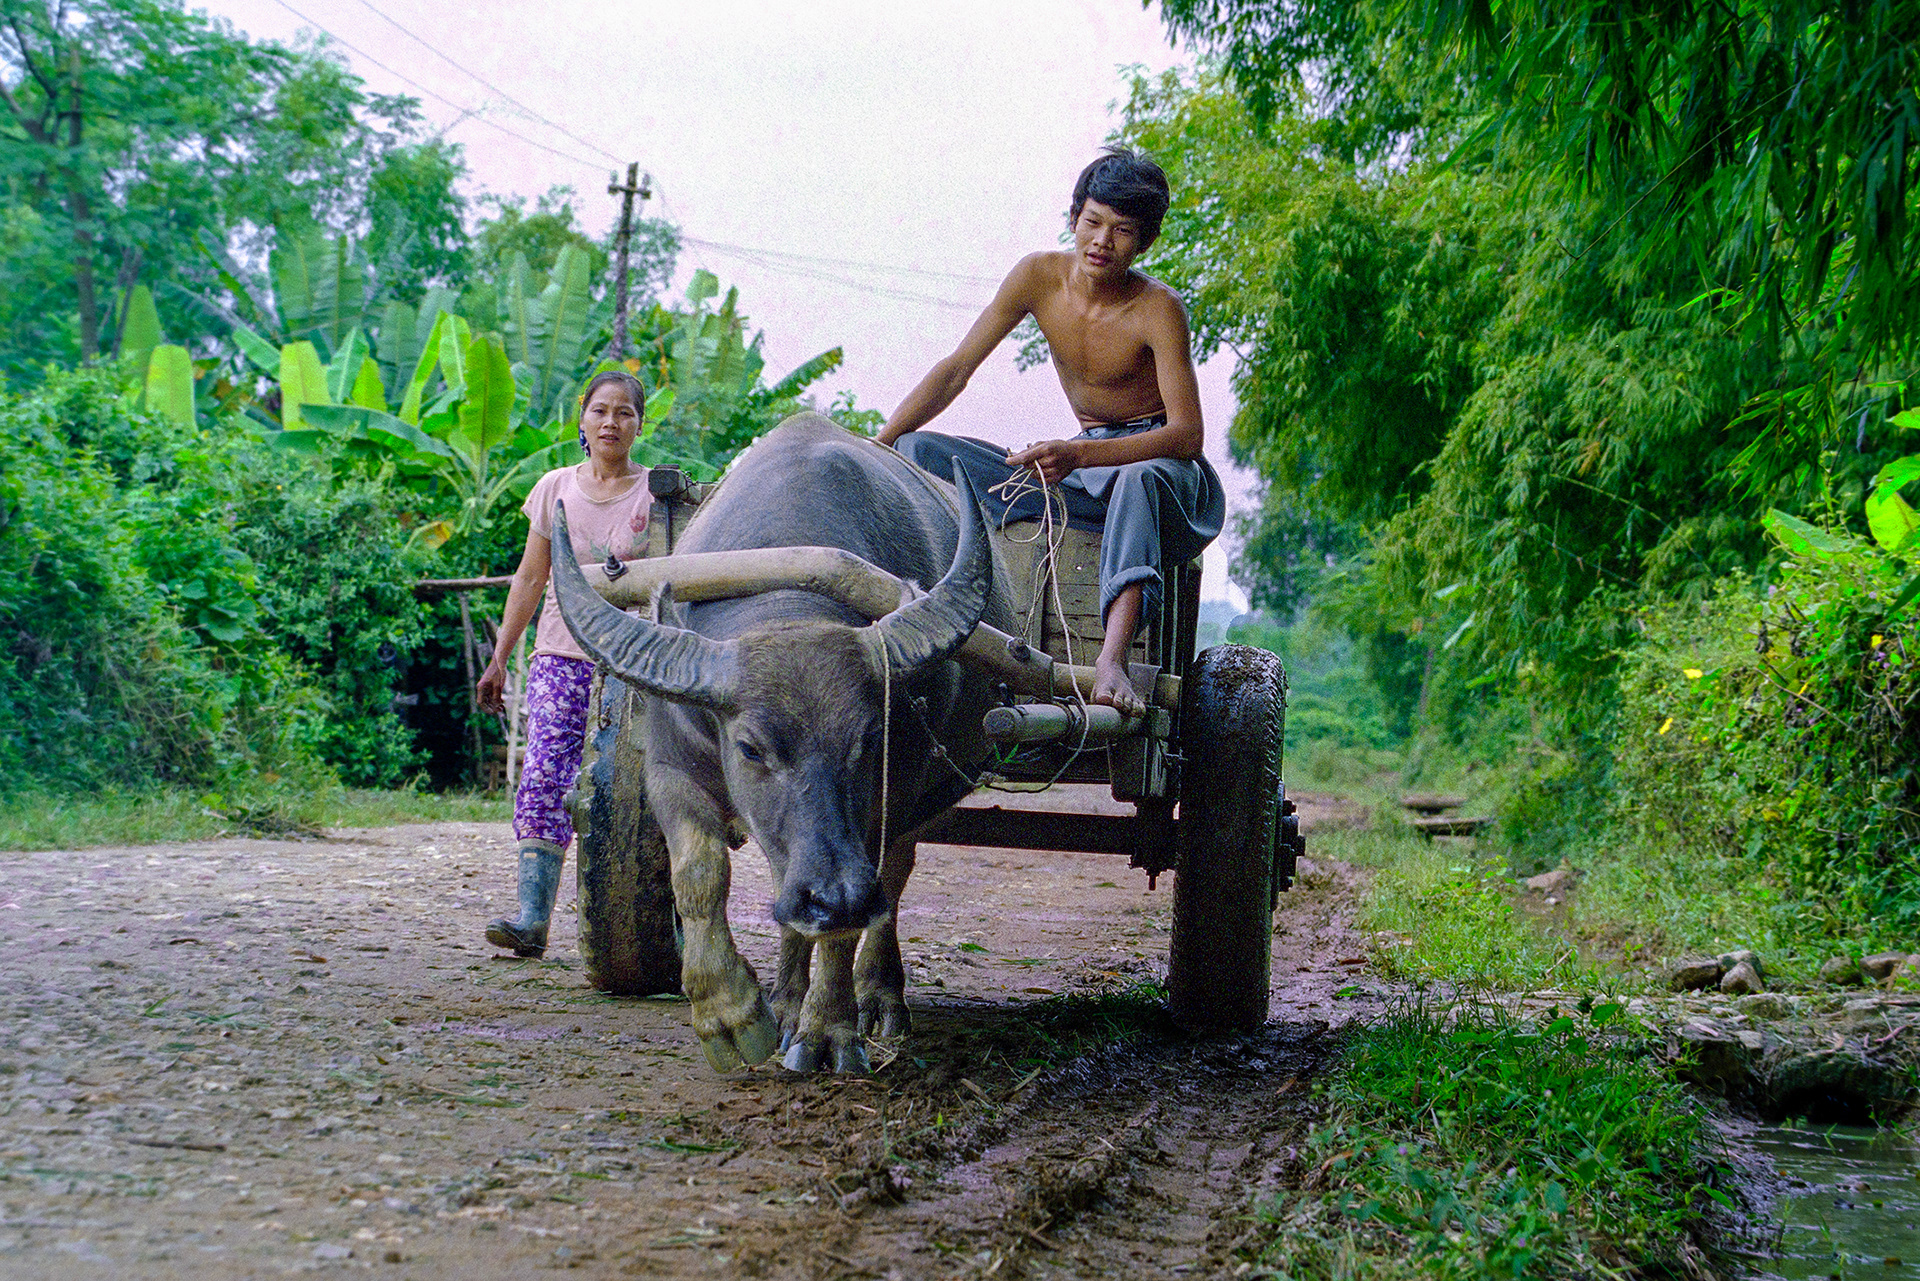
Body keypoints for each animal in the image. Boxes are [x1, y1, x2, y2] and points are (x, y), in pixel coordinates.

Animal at [549, 413, 1015, 1073]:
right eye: (749, 748)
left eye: (870, 738)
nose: (834, 897)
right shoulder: (668, 771)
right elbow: (699, 872)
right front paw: (731, 1014)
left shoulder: (888, 802)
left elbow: (856, 913)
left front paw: (828, 1030)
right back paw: (787, 1000)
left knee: (892, 880)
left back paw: (877, 1001)